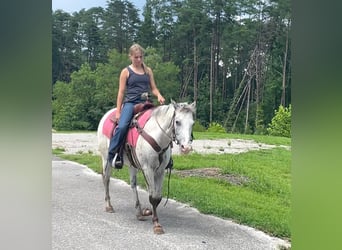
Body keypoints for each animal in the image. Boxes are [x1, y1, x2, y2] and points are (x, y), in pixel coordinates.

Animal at [97, 100, 196, 233]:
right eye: (177, 122)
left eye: (192, 123)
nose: (186, 148)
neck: (157, 137)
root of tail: (106, 115)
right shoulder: (148, 169)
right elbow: (153, 197)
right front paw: (157, 224)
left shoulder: (160, 171)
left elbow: (157, 196)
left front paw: (150, 213)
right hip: (106, 159)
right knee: (106, 179)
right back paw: (109, 206)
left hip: (132, 165)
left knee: (133, 184)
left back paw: (139, 212)